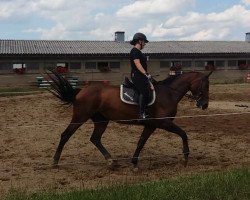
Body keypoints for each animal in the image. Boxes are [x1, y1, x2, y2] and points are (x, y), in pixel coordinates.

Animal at [47, 70, 212, 169]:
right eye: (205, 85)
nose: (204, 104)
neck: (168, 93)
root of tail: (81, 91)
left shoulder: (151, 125)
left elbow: (141, 142)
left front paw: (134, 163)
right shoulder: (164, 122)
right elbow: (183, 134)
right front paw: (185, 157)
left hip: (101, 120)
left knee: (95, 138)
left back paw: (111, 161)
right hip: (80, 117)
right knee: (65, 135)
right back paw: (55, 162)